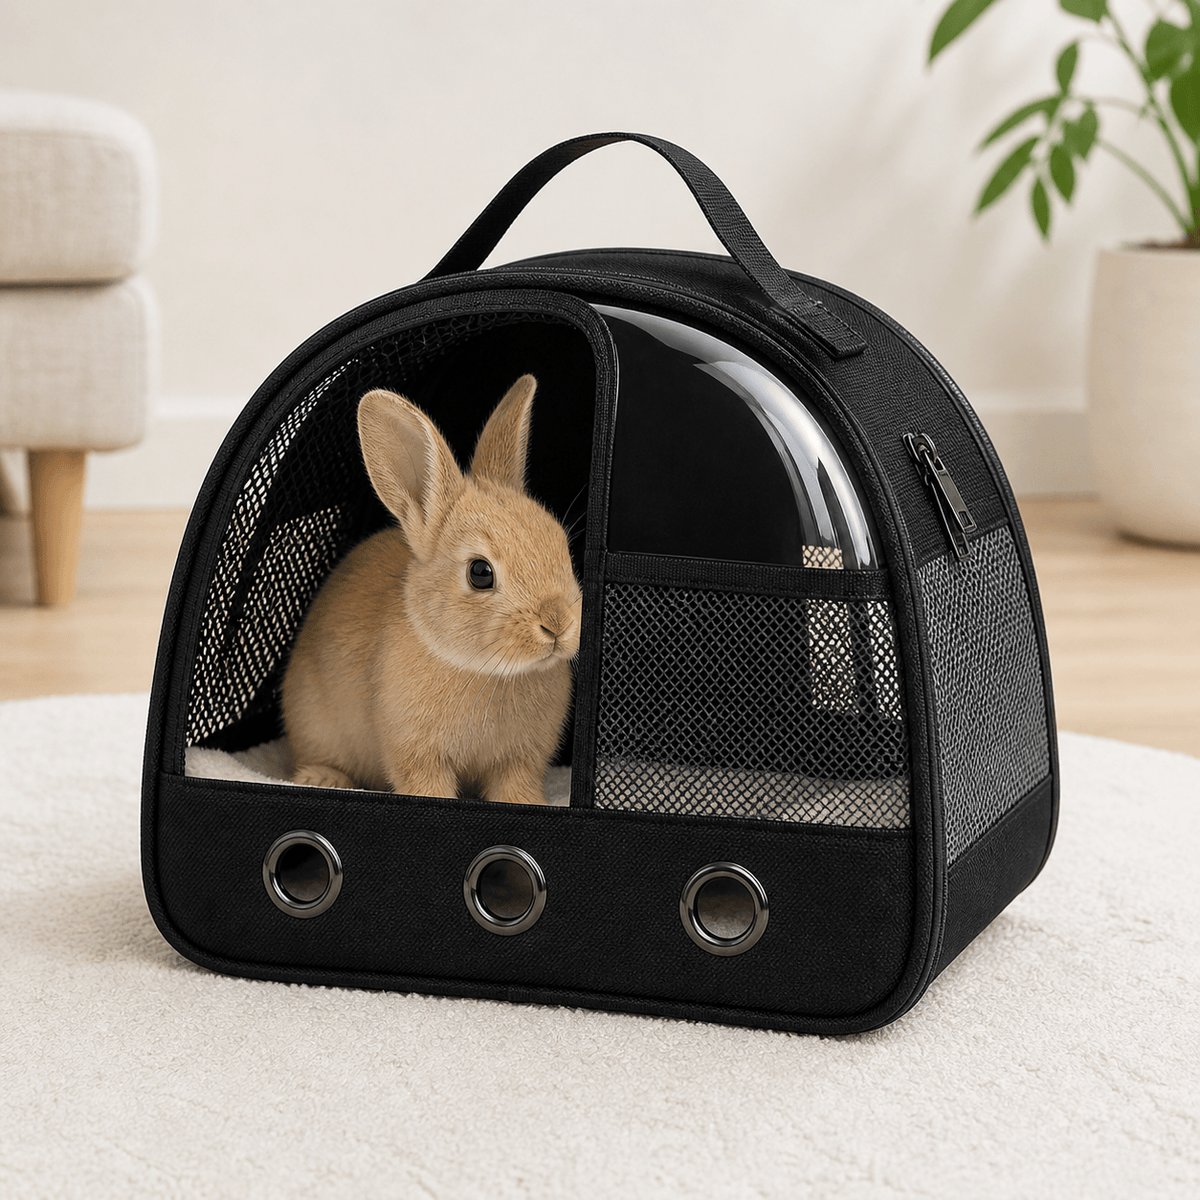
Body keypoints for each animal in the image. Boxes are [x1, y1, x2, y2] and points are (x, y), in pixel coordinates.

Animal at [281, 374, 582, 805]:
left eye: (561, 547)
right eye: (480, 573)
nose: (557, 624)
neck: (486, 670)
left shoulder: (518, 762)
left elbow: (516, 788)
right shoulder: (418, 756)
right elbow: (428, 787)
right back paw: (322, 778)